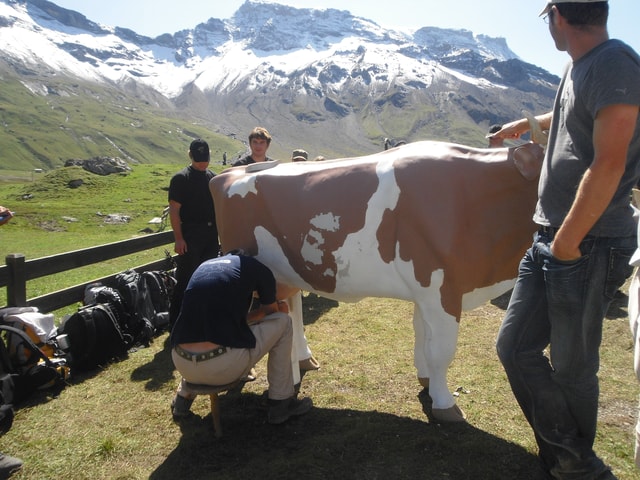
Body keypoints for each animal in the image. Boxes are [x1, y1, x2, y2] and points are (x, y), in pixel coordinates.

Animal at [211, 141, 544, 422]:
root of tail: (227, 174)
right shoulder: (441, 288)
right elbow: (442, 350)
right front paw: (445, 404)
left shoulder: (426, 292)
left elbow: (422, 337)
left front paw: (425, 380)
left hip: (289, 273)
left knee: (292, 312)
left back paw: (304, 361)